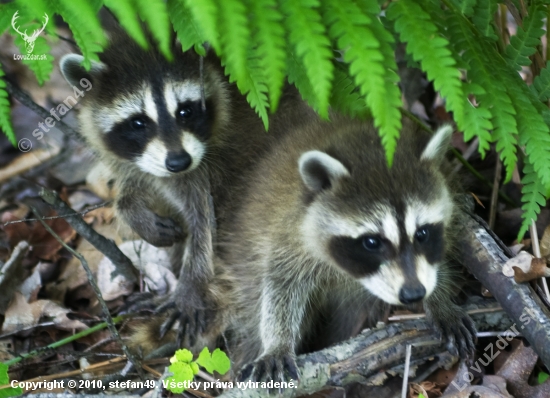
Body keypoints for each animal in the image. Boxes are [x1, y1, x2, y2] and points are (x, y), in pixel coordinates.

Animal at [219, 115, 478, 382]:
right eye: (372, 242)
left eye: (422, 234)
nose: (414, 293)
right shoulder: (287, 233)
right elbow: (281, 283)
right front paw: (277, 341)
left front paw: (440, 300)